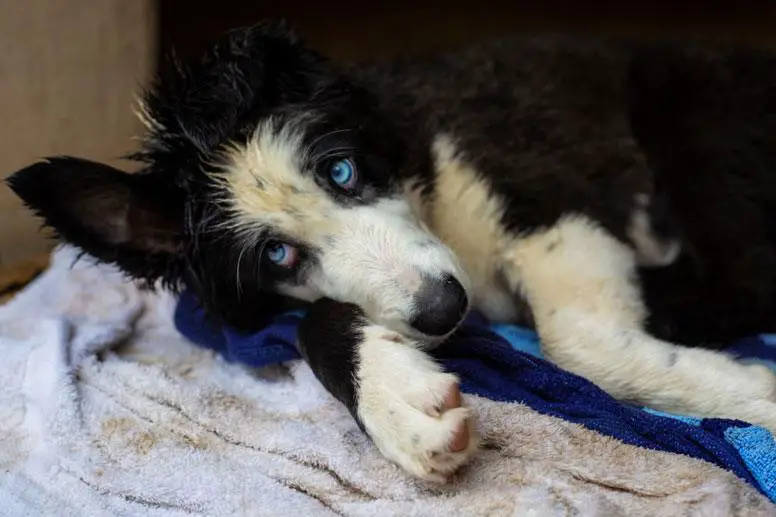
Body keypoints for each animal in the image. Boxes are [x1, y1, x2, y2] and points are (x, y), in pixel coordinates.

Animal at [7, 20, 776, 480]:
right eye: (277, 257)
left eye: (343, 171)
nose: (444, 309)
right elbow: (314, 321)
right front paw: (396, 400)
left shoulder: (546, 186)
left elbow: (578, 345)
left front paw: (754, 396)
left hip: (689, 116)